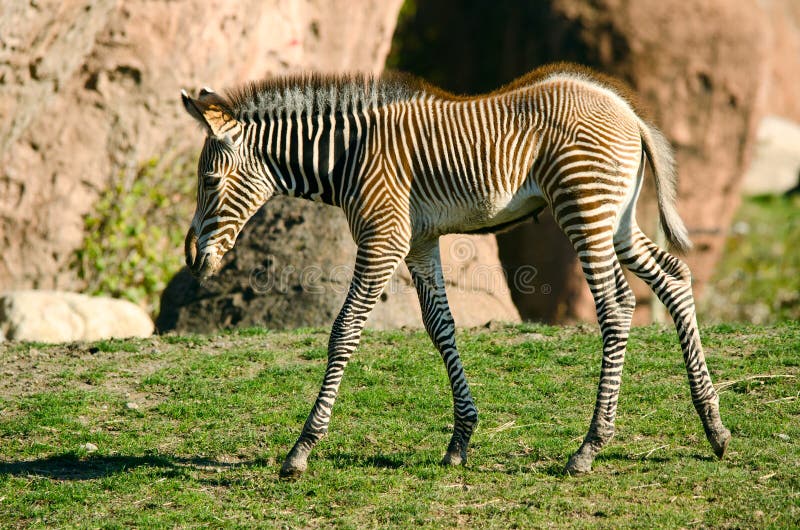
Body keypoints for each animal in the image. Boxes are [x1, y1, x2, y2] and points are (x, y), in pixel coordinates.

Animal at [180, 63, 730, 478]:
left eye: (209, 181)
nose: (192, 258)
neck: (349, 157)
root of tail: (628, 112)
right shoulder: (418, 242)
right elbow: (440, 327)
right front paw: (461, 439)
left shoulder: (383, 239)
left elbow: (345, 330)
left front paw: (302, 449)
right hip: (616, 217)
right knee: (673, 278)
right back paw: (714, 428)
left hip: (585, 209)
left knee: (616, 307)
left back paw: (590, 447)